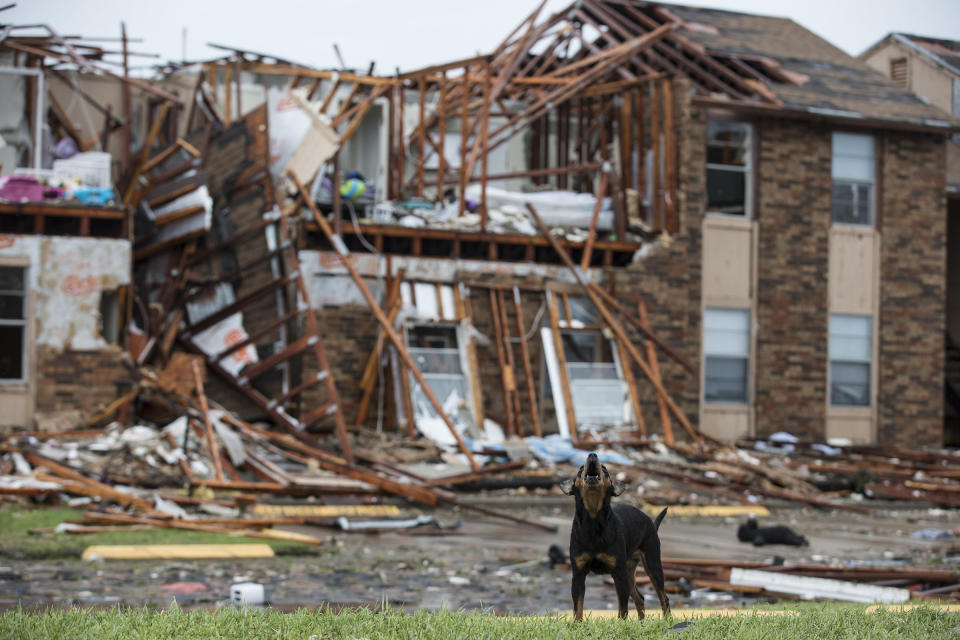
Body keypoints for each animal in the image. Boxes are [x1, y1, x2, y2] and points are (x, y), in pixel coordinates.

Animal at [560, 452, 672, 624]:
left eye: (605, 469)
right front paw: (577, 625)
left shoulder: (618, 573)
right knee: (640, 598)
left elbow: (622, 608)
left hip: (651, 564)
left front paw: (621, 625)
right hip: (629, 571)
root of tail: (651, 522)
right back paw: (641, 624)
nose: (592, 455)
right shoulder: (578, 573)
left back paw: (667, 622)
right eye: (580, 469)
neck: (593, 523)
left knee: (663, 597)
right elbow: (577, 607)